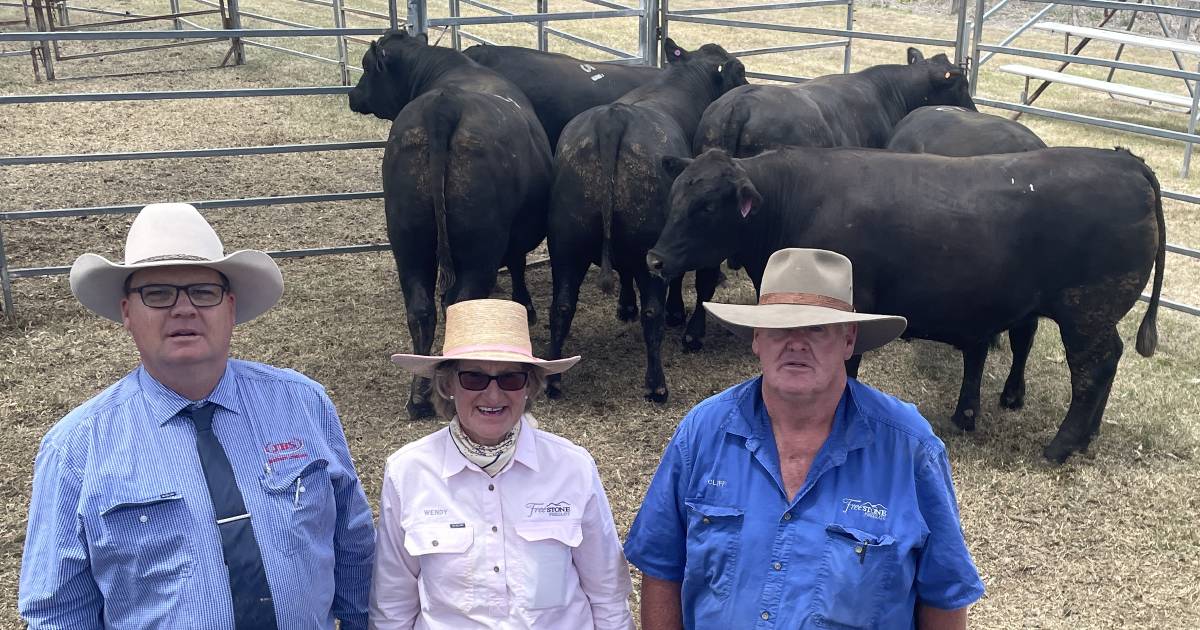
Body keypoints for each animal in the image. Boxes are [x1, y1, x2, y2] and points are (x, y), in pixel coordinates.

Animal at [652, 147, 1166, 460]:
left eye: (706, 207)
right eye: (674, 196)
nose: (655, 258)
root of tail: (1125, 163)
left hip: (1085, 312)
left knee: (1093, 368)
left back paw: (1062, 445)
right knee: (1109, 360)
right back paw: (1087, 436)